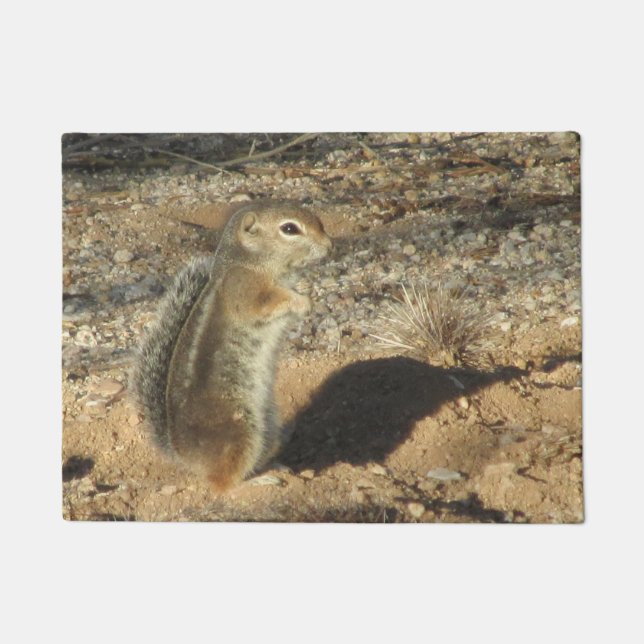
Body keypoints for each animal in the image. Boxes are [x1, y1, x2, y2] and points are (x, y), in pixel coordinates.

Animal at [131, 201, 332, 492]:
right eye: (289, 229)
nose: (329, 246)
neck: (247, 262)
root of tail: (182, 454)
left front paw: (305, 288)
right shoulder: (244, 289)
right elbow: (268, 302)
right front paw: (302, 300)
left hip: (268, 426)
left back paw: (274, 467)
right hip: (240, 433)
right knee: (222, 483)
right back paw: (257, 482)